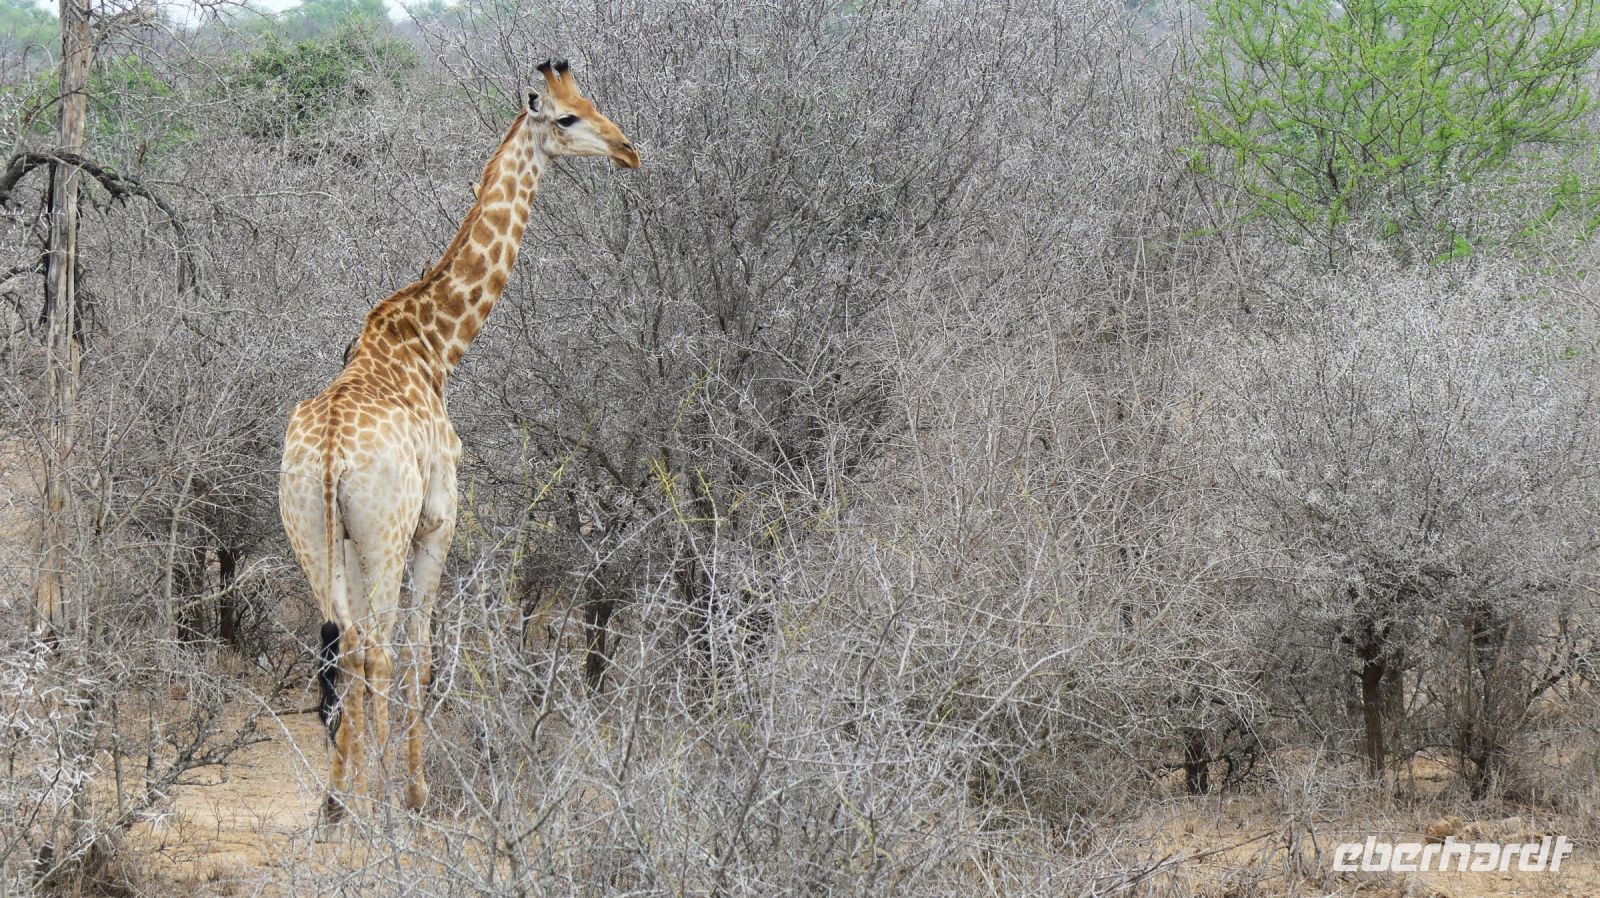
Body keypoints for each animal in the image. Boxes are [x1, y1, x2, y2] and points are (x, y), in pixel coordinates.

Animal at [279, 59, 639, 820]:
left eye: (588, 99)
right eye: (567, 117)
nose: (628, 150)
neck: (435, 346)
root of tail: (330, 455)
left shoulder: (364, 537)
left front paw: (363, 789)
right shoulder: (438, 521)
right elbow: (421, 648)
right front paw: (412, 791)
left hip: (311, 533)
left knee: (345, 644)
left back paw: (337, 801)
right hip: (382, 533)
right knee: (378, 648)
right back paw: (377, 799)